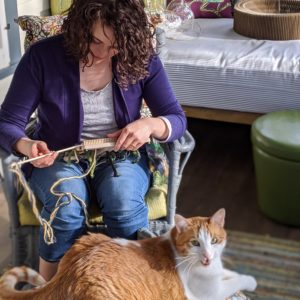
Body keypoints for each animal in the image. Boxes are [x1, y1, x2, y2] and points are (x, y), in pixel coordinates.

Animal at [0, 209, 258, 300]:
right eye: (195, 243)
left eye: (214, 241)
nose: (207, 257)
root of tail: (67, 275)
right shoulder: (211, 293)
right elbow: (236, 281)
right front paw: (252, 282)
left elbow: (230, 273)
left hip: (89, 238)